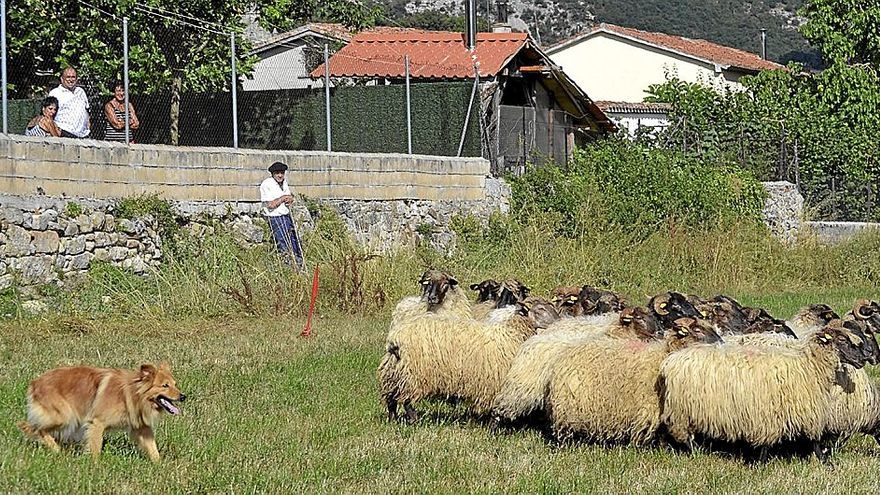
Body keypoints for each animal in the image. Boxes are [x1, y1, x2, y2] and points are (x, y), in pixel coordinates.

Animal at [18, 362, 186, 464]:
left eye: (175, 384)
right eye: (165, 386)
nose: (183, 396)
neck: (133, 392)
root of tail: (35, 382)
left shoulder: (141, 427)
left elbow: (152, 447)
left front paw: (159, 464)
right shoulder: (97, 423)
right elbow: (95, 446)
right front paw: (95, 465)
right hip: (63, 416)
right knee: (36, 428)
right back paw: (56, 450)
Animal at [378, 298, 556, 422]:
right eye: (540, 309)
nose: (558, 320)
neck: (511, 333)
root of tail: (395, 340)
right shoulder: (495, 381)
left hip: (394, 370)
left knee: (391, 397)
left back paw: (393, 419)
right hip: (414, 372)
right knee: (406, 398)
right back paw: (413, 418)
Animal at [660, 322, 868, 462]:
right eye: (842, 340)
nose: (863, 359)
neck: (809, 364)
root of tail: (672, 359)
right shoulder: (775, 413)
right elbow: (809, 440)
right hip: (681, 411)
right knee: (684, 435)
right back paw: (697, 452)